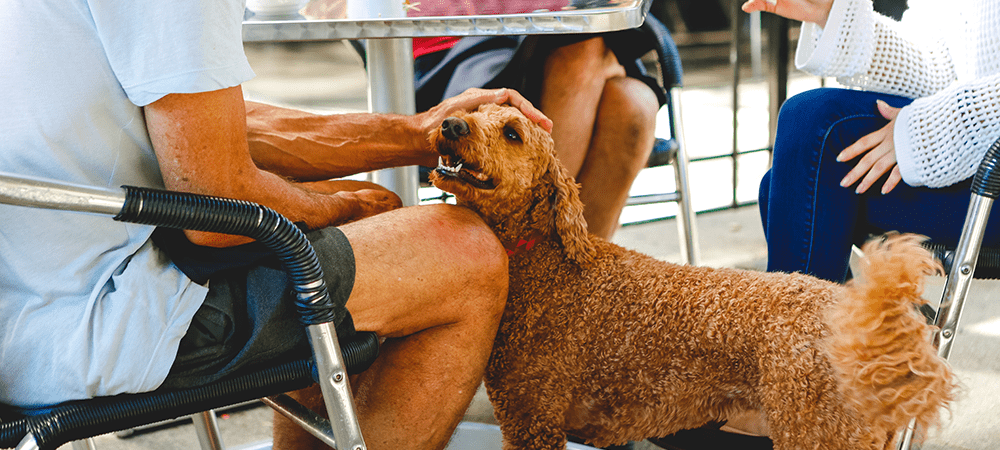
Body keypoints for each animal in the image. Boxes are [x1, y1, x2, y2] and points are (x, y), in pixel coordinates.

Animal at [428, 103, 952, 450]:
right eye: (473, 110)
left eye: (513, 133)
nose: (450, 124)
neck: (542, 262)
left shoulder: (531, 418)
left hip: (816, 430)